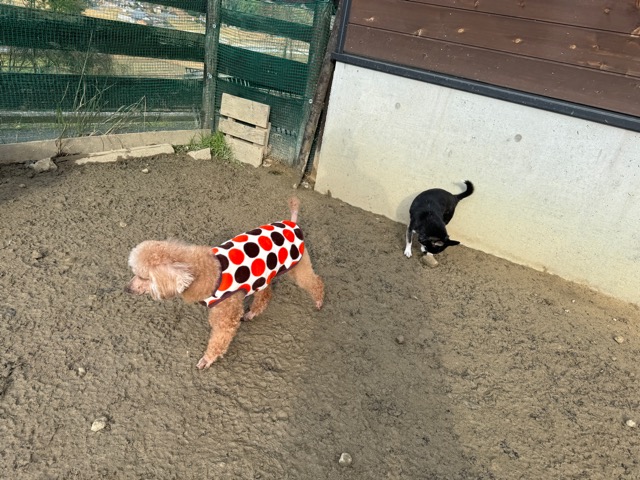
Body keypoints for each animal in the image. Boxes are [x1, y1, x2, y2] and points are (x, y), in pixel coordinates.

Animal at [125, 197, 324, 369]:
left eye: (143, 277)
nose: (126, 289)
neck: (200, 269)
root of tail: (293, 223)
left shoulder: (226, 313)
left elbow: (219, 338)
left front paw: (207, 359)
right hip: (264, 275)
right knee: (265, 295)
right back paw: (251, 313)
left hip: (298, 265)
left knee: (315, 282)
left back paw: (319, 301)